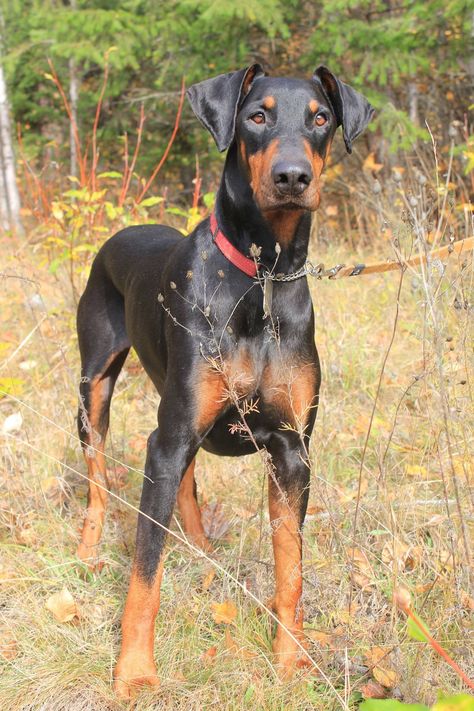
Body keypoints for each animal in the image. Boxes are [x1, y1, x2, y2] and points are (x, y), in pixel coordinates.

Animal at [76, 64, 374, 700]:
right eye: (256, 116)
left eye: (321, 117)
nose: (293, 177)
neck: (262, 276)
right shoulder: (167, 440)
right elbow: (145, 571)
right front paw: (134, 671)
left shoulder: (291, 451)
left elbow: (291, 570)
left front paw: (291, 662)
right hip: (95, 389)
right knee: (97, 479)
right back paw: (89, 549)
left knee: (185, 485)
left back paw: (204, 553)